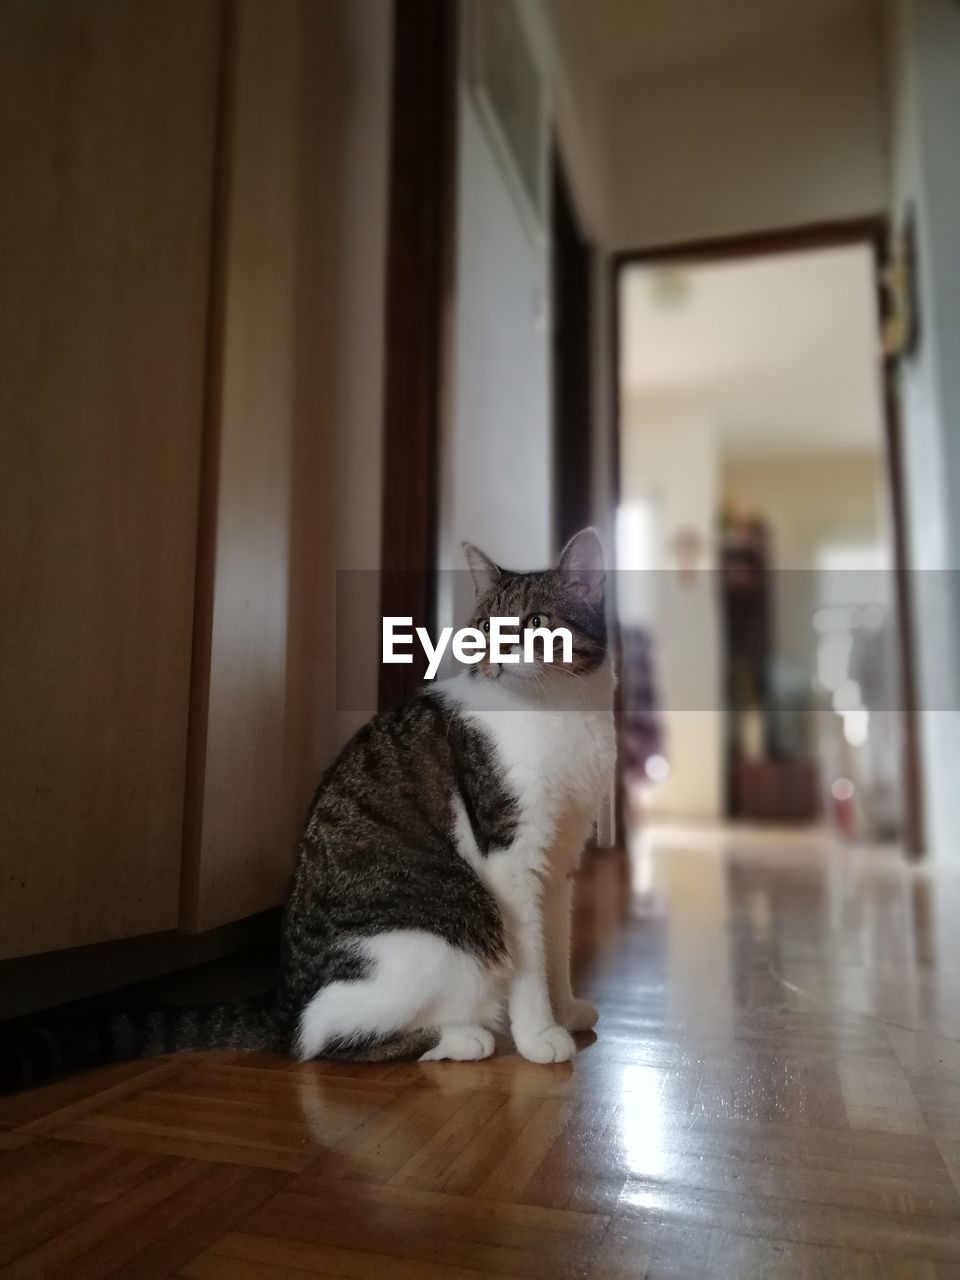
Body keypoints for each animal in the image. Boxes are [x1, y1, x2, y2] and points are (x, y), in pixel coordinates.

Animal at [0, 524, 616, 1085]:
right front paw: (538, 1035)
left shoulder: (556, 861)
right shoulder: (511, 858)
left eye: (534, 623)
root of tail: (283, 995)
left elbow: (555, 945)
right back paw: (463, 1037)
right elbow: (531, 957)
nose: (497, 655)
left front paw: (565, 1010)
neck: (560, 713)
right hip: (449, 936)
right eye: (487, 626)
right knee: (321, 1037)